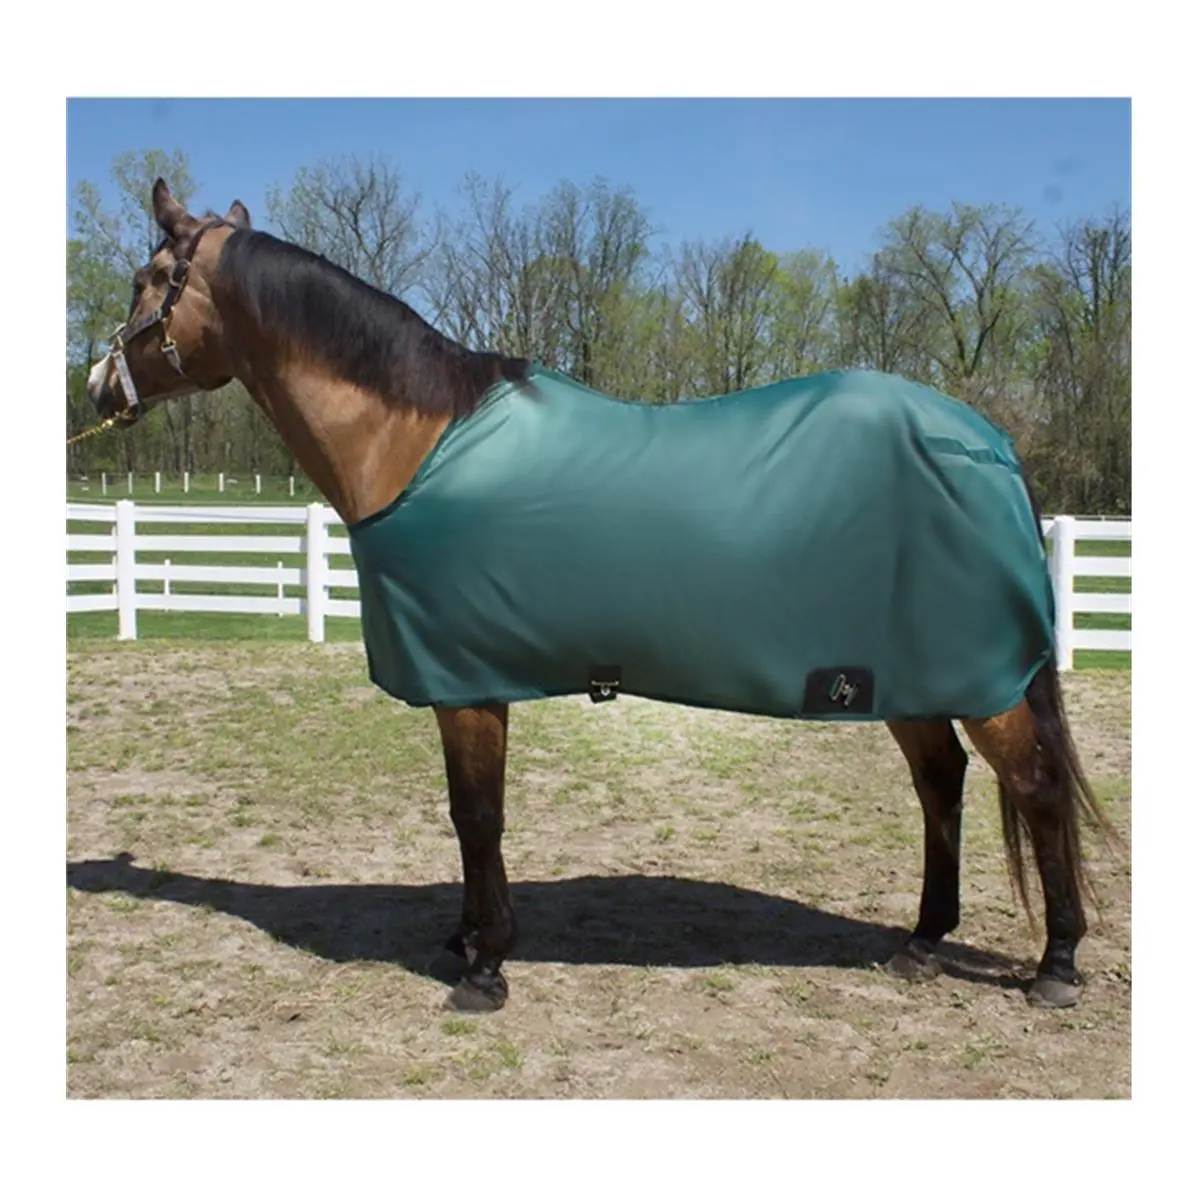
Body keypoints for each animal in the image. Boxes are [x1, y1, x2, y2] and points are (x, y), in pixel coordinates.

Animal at [84, 179, 1114, 1013]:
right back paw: (922, 941)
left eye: (147, 276)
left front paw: (484, 967)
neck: (418, 442)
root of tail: (987, 442)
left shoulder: (466, 683)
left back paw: (1056, 966)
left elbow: (476, 815)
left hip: (977, 681)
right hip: (900, 678)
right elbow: (471, 816)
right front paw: (471, 939)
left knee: (1034, 787)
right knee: (942, 783)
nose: (95, 385)